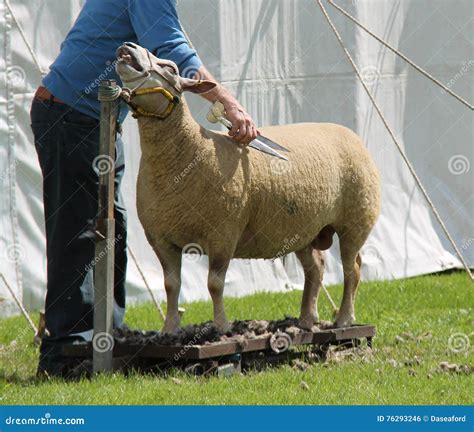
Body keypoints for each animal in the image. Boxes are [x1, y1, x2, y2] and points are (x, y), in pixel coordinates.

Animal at [116, 43, 384, 334]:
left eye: (170, 68)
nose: (129, 46)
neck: (191, 151)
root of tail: (349, 133)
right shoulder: (160, 239)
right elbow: (171, 285)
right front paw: (170, 329)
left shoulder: (223, 233)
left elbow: (214, 284)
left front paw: (222, 326)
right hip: (304, 228)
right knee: (316, 268)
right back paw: (306, 319)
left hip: (356, 220)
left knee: (351, 269)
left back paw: (344, 318)